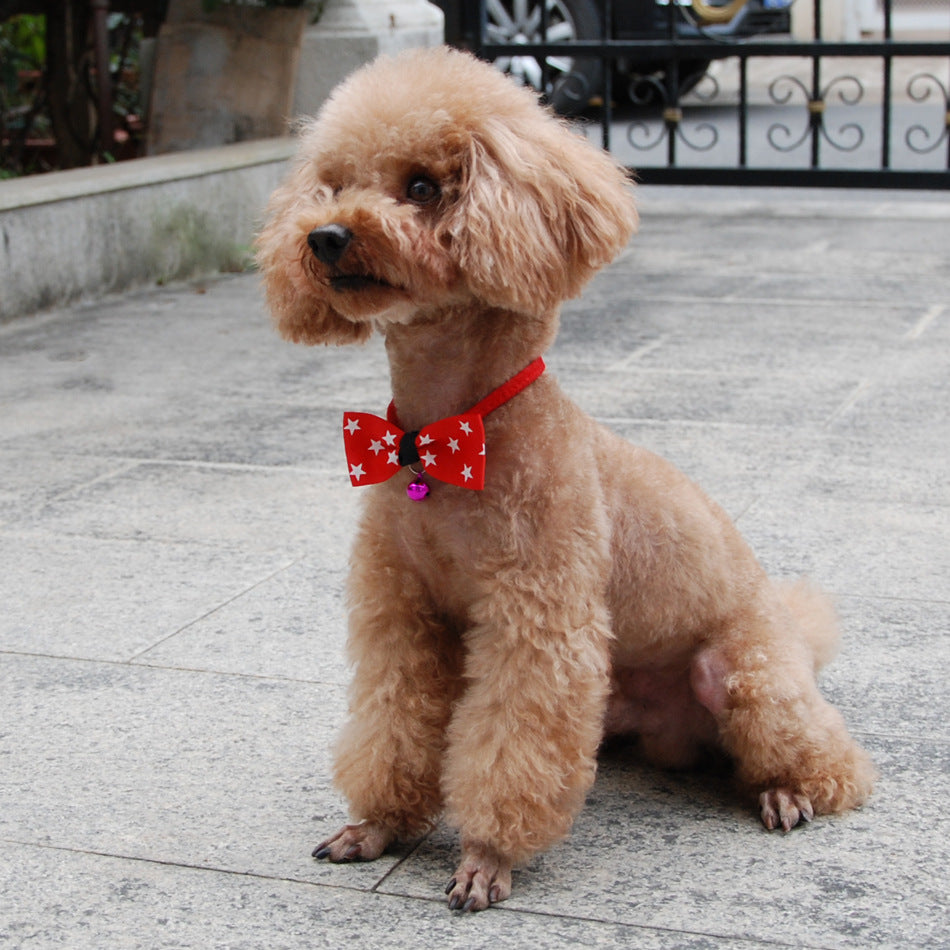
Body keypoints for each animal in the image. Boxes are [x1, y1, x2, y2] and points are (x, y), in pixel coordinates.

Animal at [255, 46, 876, 916]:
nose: (325, 236)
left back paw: (789, 792)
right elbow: (394, 721)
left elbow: (510, 745)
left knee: (830, 761)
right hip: (614, 698)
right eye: (334, 181)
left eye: (423, 186)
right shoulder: (404, 614)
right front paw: (377, 825)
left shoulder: (536, 619)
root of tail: (787, 626)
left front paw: (485, 857)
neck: (449, 438)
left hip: (744, 677)